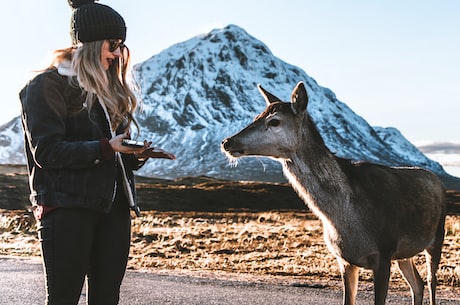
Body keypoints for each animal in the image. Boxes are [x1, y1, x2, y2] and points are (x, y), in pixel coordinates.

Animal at [222, 81, 446, 304]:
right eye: (256, 117)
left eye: (274, 121)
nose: (227, 142)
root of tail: (437, 180)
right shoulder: (345, 259)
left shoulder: (384, 251)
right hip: (404, 253)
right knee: (417, 283)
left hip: (437, 235)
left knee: (430, 281)